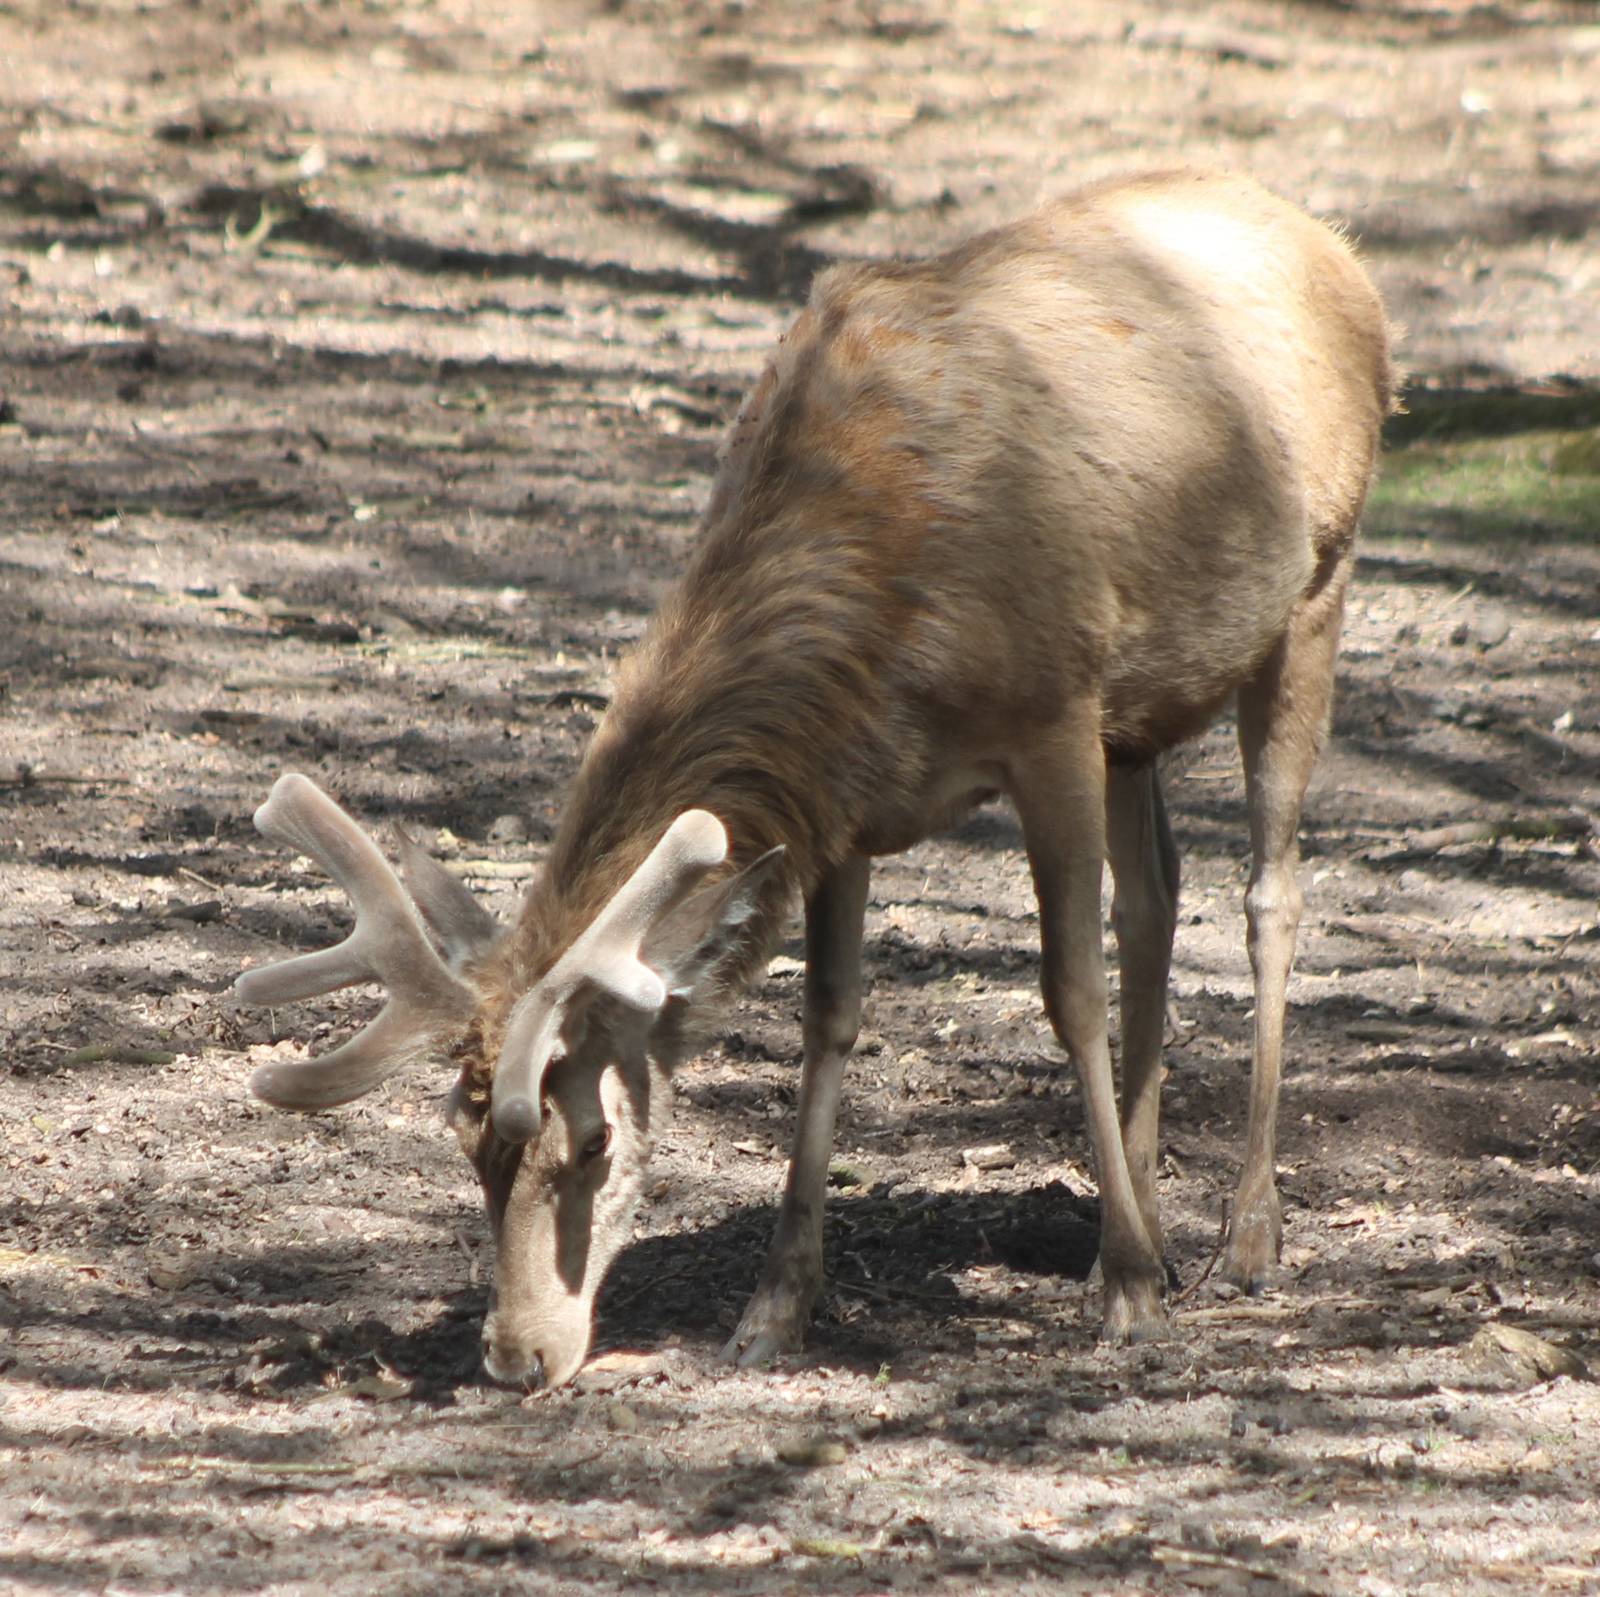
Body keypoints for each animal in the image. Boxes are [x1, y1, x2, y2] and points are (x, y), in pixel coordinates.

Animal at [232, 168, 1394, 1388]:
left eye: (593, 1139)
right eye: (464, 1146)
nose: (514, 1355)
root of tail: (1327, 242)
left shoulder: (1055, 707)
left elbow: (1069, 989)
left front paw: (1129, 1295)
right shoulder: (844, 799)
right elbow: (829, 1015)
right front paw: (775, 1305)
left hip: (1316, 583)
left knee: (1269, 895)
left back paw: (1239, 1238)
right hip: (1145, 709)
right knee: (1158, 898)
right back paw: (1148, 1226)